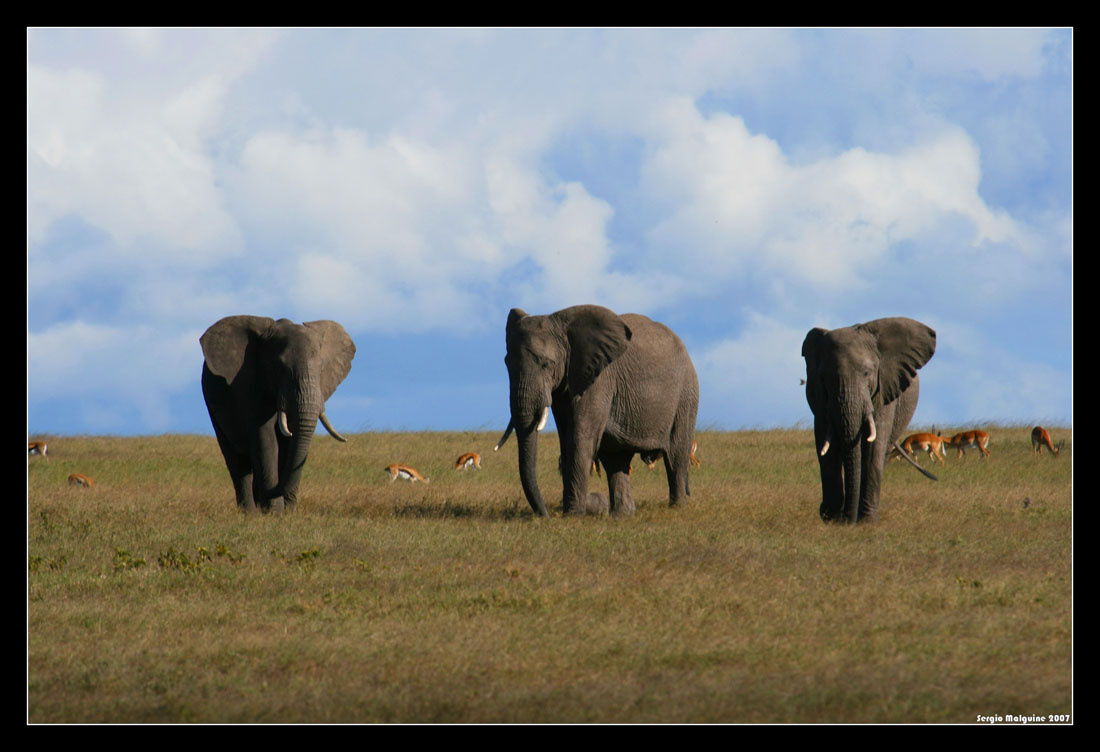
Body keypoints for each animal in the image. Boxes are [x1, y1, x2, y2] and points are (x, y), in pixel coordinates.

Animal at [200, 315, 356, 513]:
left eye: (321, 368)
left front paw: (287, 513)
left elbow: (289, 444)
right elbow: (266, 439)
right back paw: (250, 513)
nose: (266, 494)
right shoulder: (251, 383)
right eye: (279, 367)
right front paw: (275, 512)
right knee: (237, 463)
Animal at [496, 305, 699, 518]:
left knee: (676, 455)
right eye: (506, 363)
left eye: (547, 364)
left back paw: (677, 508)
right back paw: (621, 516)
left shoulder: (600, 378)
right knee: (616, 460)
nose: (546, 516)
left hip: (686, 395)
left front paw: (572, 516)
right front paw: (572, 513)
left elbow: (579, 436)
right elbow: (566, 439)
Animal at [802, 317, 936, 524]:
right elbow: (826, 447)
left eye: (867, 373)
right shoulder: (819, 398)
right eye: (825, 379)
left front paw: (866, 522)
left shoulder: (884, 388)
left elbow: (875, 446)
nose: (847, 520)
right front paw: (831, 518)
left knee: (882, 452)